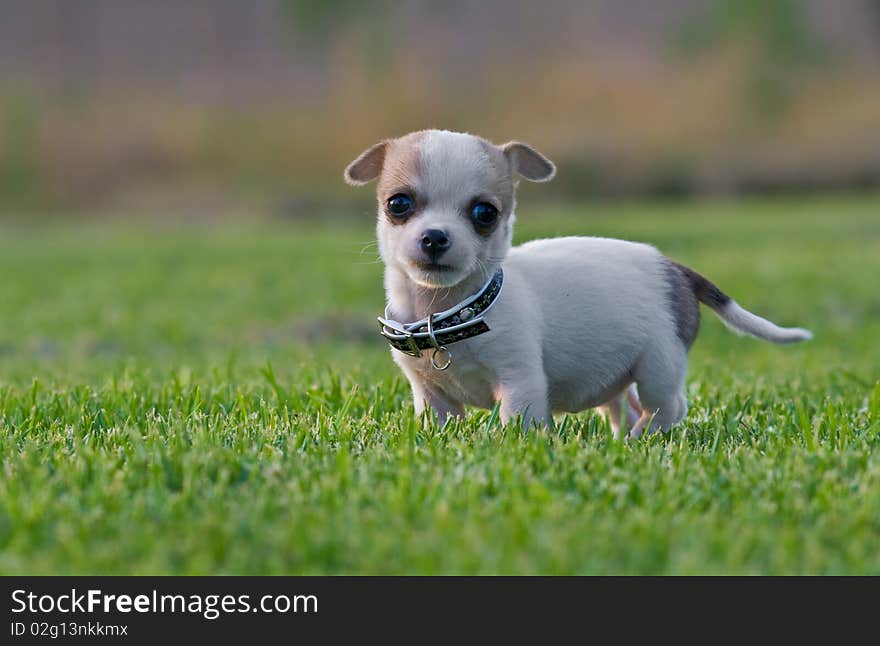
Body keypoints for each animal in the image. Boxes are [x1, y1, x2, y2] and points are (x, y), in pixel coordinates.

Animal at [344, 129, 812, 438]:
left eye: (484, 213)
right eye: (398, 204)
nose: (435, 237)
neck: (446, 311)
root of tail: (674, 268)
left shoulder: (520, 383)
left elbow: (518, 424)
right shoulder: (430, 395)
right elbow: (437, 427)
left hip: (660, 366)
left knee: (669, 406)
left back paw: (644, 438)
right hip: (617, 376)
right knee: (624, 406)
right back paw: (622, 439)